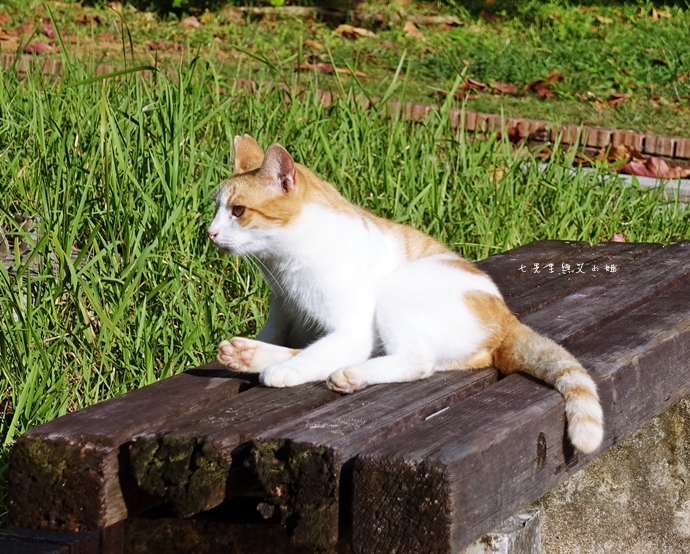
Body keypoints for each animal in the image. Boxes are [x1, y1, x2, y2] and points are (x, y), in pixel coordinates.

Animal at [206, 135, 600, 452]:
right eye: (216, 208)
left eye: (238, 211)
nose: (209, 233)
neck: (284, 264)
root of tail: (507, 318)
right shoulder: (283, 308)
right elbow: (293, 341)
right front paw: (258, 353)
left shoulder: (354, 329)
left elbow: (317, 353)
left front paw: (286, 370)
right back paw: (248, 354)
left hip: (397, 292)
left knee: (417, 361)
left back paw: (350, 374)